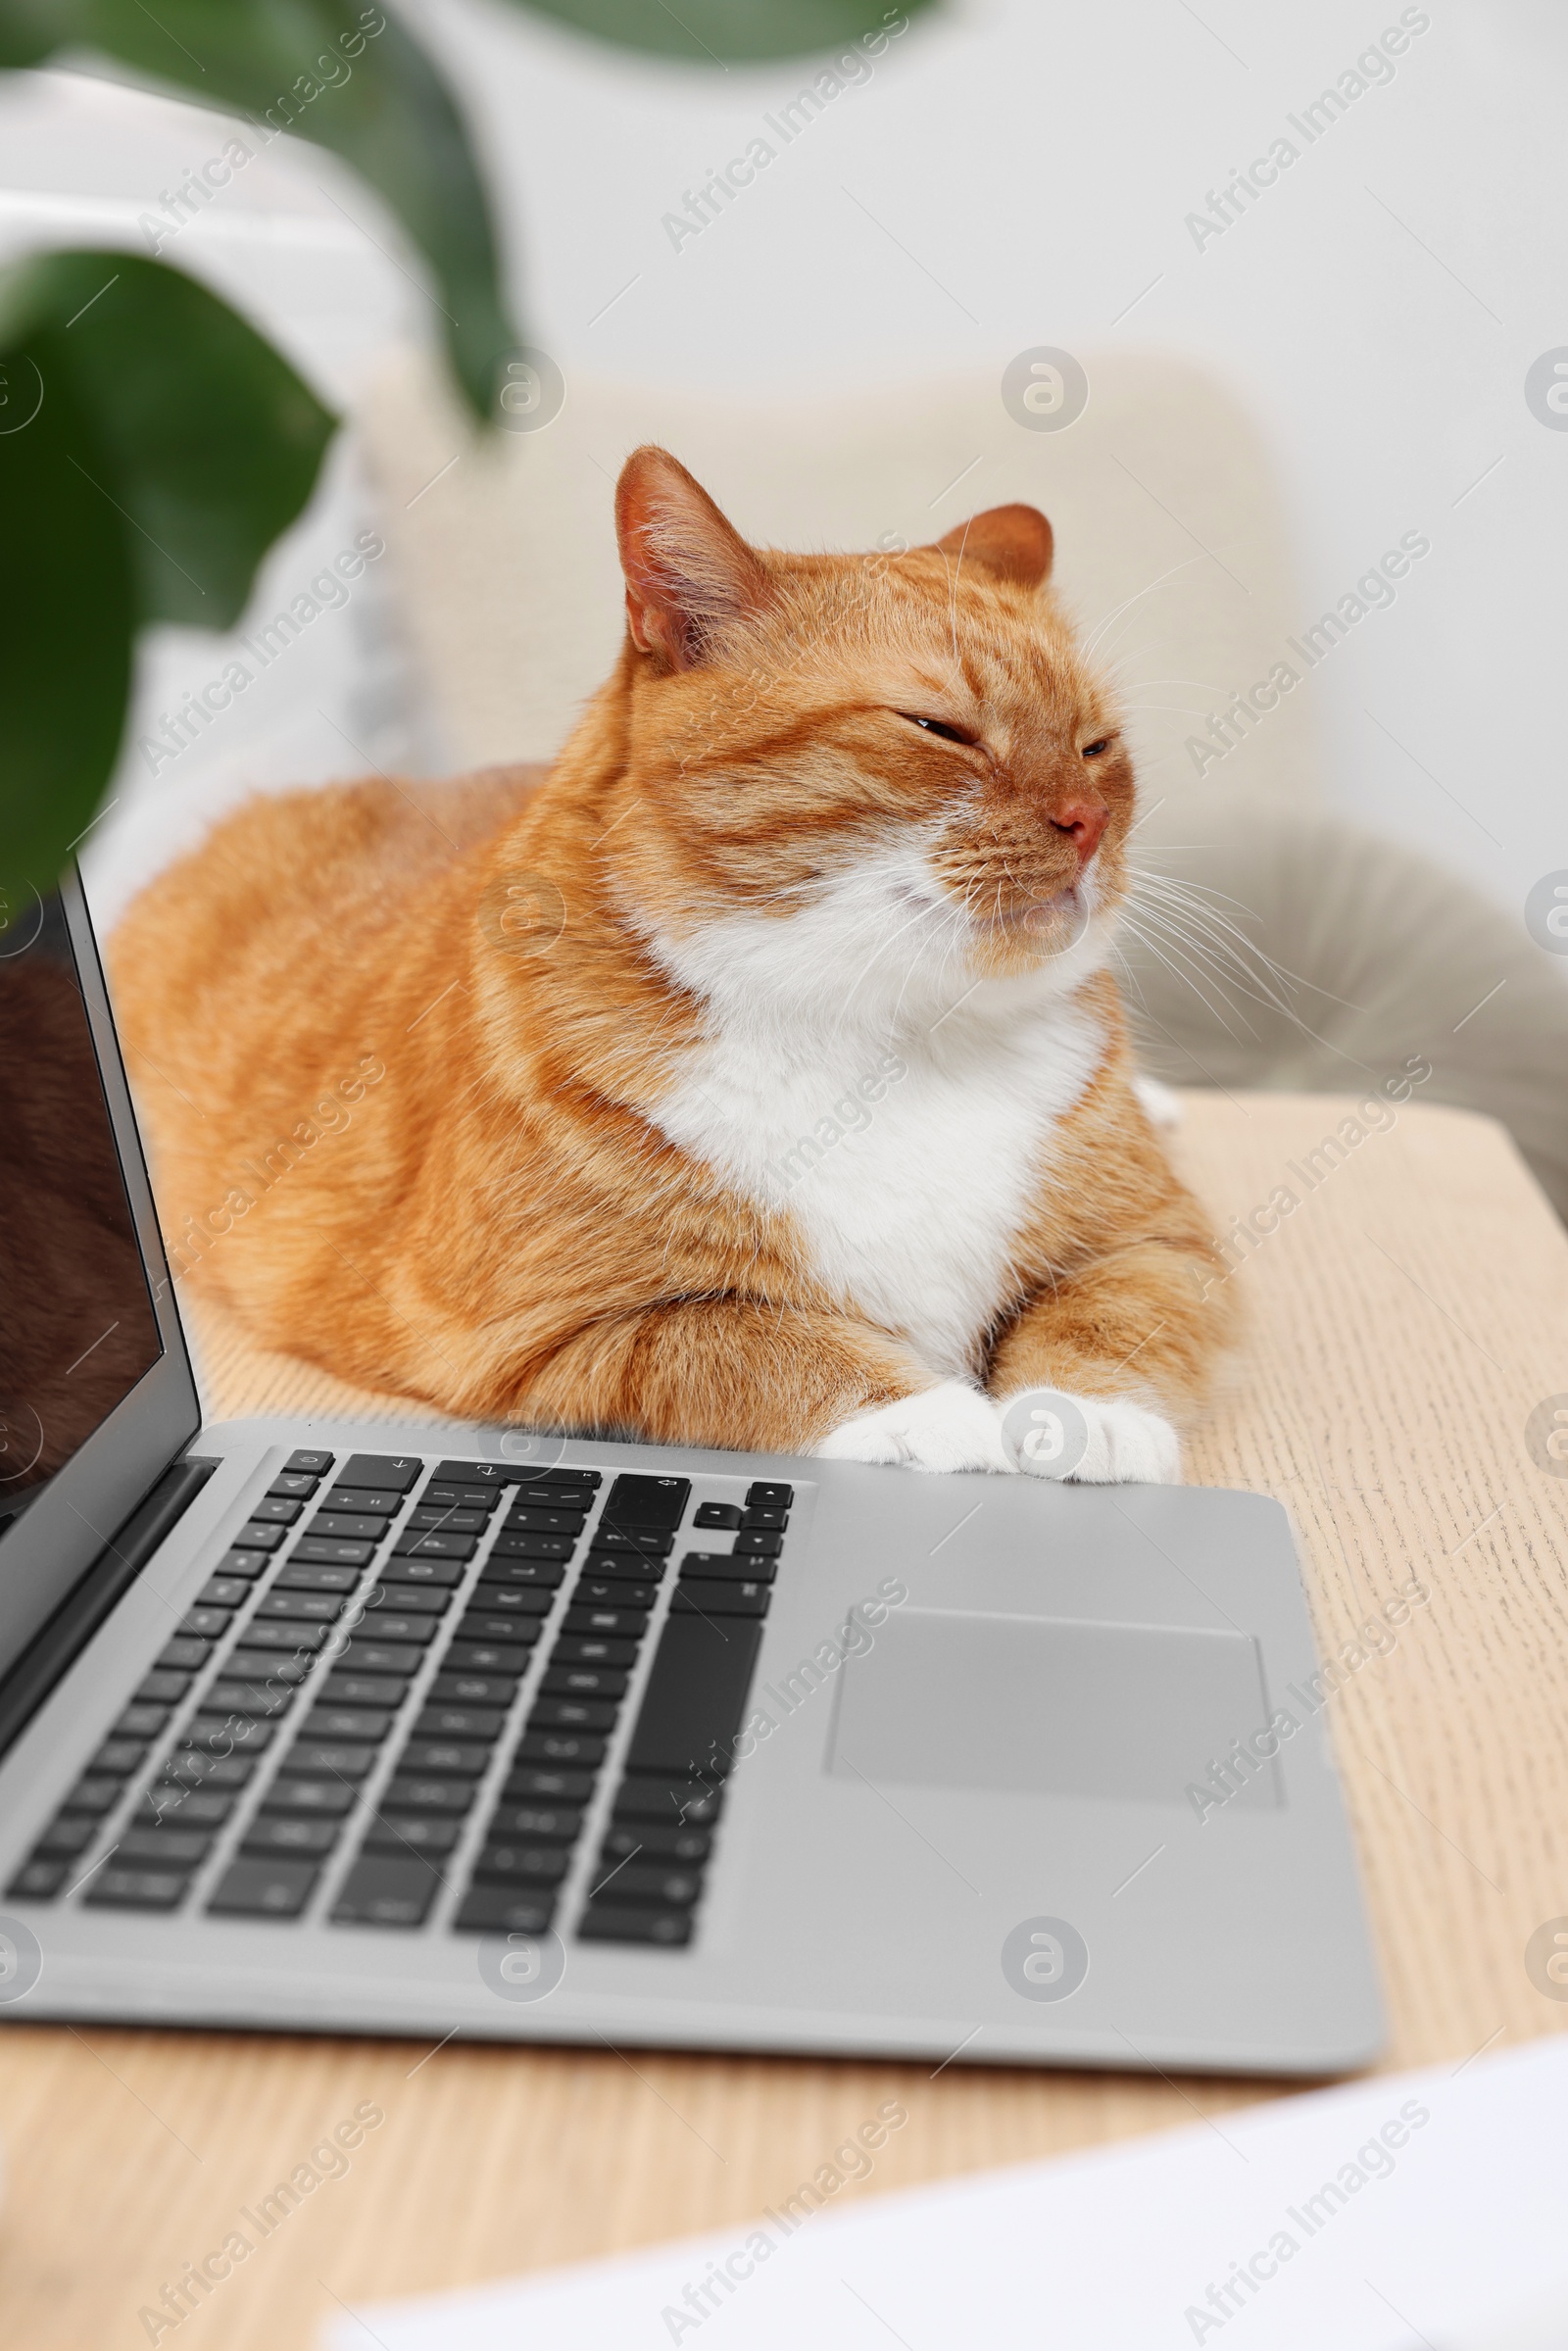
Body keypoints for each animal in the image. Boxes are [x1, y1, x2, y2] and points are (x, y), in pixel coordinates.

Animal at [113, 446, 1241, 1476]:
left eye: (1097, 745)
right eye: (941, 728)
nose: (1087, 821)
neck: (897, 1034)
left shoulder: (1161, 1240)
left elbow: (1111, 1309)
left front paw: (1081, 1414)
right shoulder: (549, 1335)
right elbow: (744, 1338)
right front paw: (929, 1412)